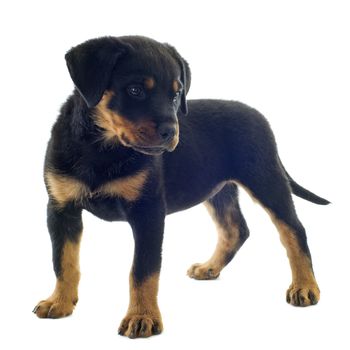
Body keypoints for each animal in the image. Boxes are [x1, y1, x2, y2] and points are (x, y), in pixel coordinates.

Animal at [32, 34, 328, 336]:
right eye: (135, 90)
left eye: (176, 94)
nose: (171, 132)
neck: (101, 148)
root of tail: (258, 116)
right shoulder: (60, 209)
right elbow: (64, 261)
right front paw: (60, 302)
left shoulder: (148, 212)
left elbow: (143, 270)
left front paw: (142, 317)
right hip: (219, 189)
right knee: (236, 229)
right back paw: (209, 268)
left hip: (265, 178)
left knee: (293, 230)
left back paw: (305, 287)